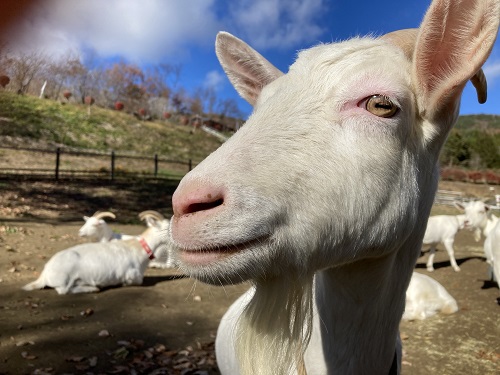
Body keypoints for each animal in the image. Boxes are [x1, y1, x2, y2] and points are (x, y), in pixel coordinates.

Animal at [22, 216, 168, 296]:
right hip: (64, 278)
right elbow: (136, 281)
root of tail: (45, 272)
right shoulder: (132, 275)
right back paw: (93, 288)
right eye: (166, 228)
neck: (138, 248)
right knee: (64, 290)